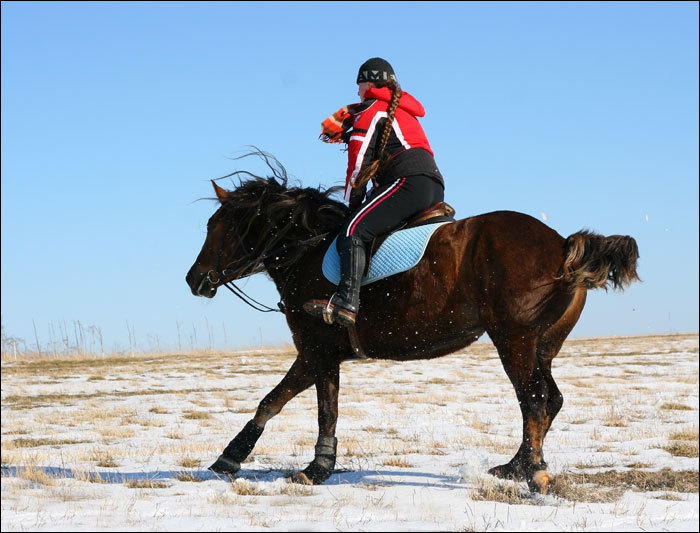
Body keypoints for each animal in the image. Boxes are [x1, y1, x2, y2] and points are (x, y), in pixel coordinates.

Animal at [185, 152, 640, 492]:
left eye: (218, 226)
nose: (195, 279)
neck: (307, 249)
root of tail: (562, 243)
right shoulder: (317, 353)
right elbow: (284, 403)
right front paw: (239, 458)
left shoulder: (319, 349)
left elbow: (311, 408)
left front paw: (305, 468)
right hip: (544, 344)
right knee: (549, 400)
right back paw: (516, 466)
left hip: (515, 340)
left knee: (533, 400)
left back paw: (533, 473)